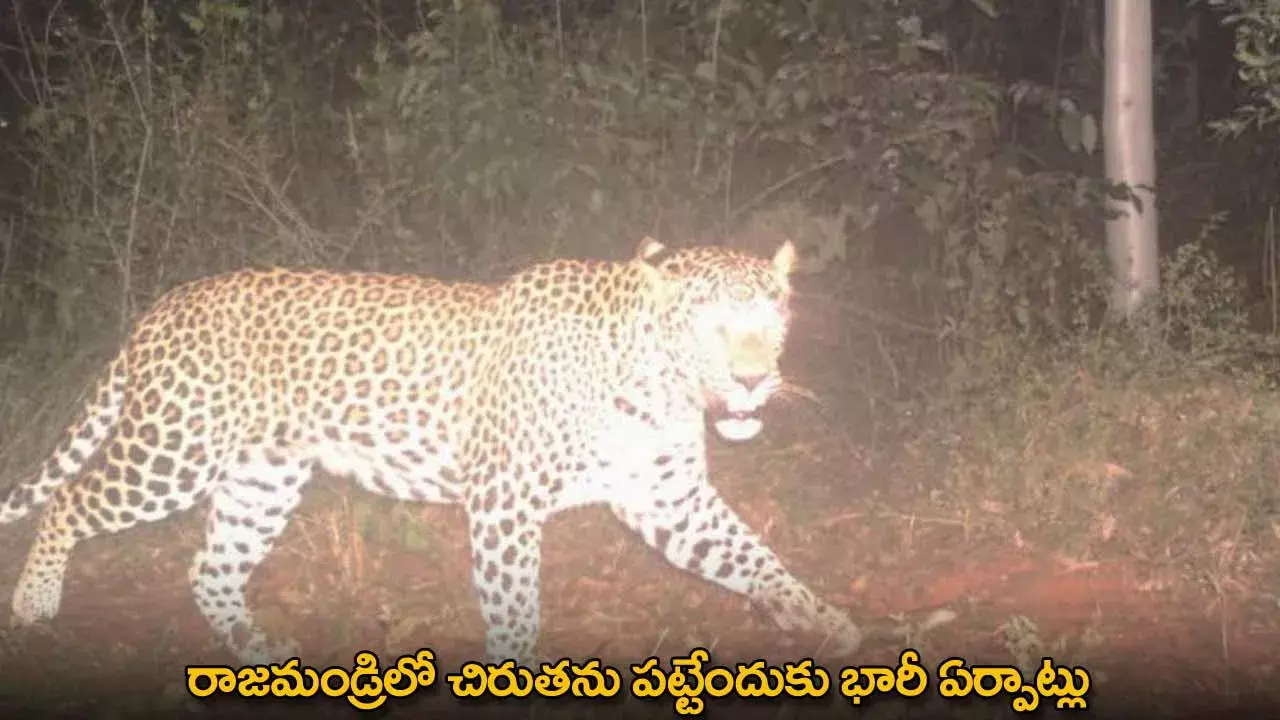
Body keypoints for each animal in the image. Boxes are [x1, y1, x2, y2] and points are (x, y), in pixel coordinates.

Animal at [0, 235, 863, 666]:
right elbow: (516, 608)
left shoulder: (667, 497)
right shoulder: (505, 501)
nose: (752, 379)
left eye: (775, 318)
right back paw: (34, 602)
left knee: (210, 568)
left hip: (262, 477)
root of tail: (163, 305)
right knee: (71, 499)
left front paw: (823, 623)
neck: (656, 386)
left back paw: (254, 650)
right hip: (174, 449)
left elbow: (753, 556)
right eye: (708, 325)